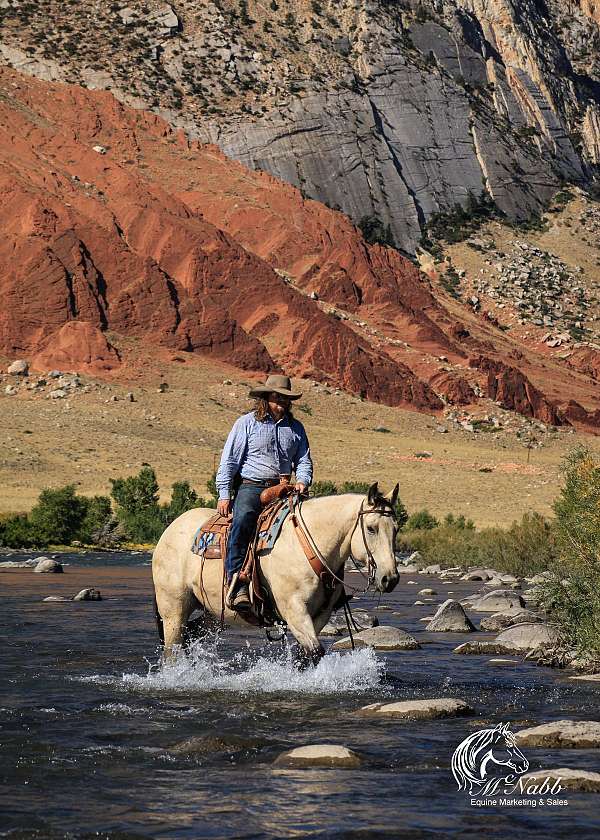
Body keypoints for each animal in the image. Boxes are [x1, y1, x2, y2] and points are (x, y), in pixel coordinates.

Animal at [152, 482, 400, 668]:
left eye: (396, 529)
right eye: (371, 528)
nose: (390, 578)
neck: (308, 546)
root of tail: (170, 529)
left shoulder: (321, 614)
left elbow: (304, 656)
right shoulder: (294, 610)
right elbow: (315, 652)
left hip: (211, 613)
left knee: (190, 635)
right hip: (173, 609)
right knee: (172, 649)